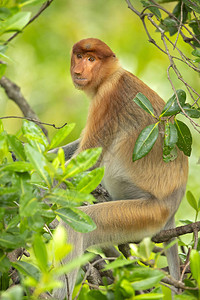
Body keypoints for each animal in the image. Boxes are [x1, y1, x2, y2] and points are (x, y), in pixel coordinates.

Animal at [52, 38, 188, 298]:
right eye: (79, 56)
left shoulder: (107, 98)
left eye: (92, 59)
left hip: (145, 214)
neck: (110, 75)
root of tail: (173, 206)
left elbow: (88, 158)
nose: (79, 70)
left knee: (78, 226)